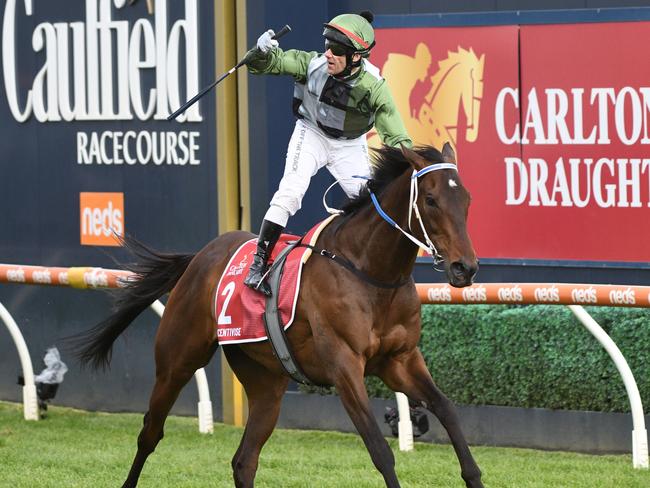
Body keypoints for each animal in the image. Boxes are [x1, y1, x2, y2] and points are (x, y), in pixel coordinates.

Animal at [74, 143, 480, 486]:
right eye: (431, 199)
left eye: (466, 198)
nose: (465, 268)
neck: (370, 270)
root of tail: (200, 256)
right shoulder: (345, 365)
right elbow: (380, 450)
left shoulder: (400, 360)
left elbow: (447, 410)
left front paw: (472, 473)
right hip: (177, 360)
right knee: (150, 433)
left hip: (265, 381)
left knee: (244, 459)